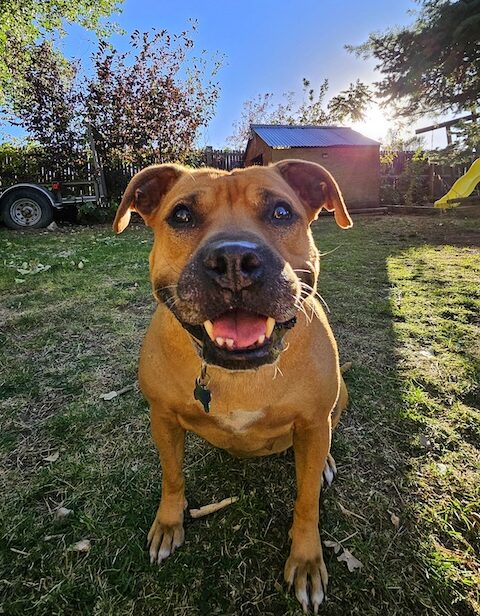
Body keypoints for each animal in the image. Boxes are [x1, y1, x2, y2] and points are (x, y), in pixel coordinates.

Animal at [114, 161, 350, 612]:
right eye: (181, 215)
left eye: (281, 212)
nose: (234, 259)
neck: (238, 373)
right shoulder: (162, 418)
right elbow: (172, 476)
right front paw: (169, 523)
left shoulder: (313, 424)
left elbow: (306, 502)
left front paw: (307, 559)